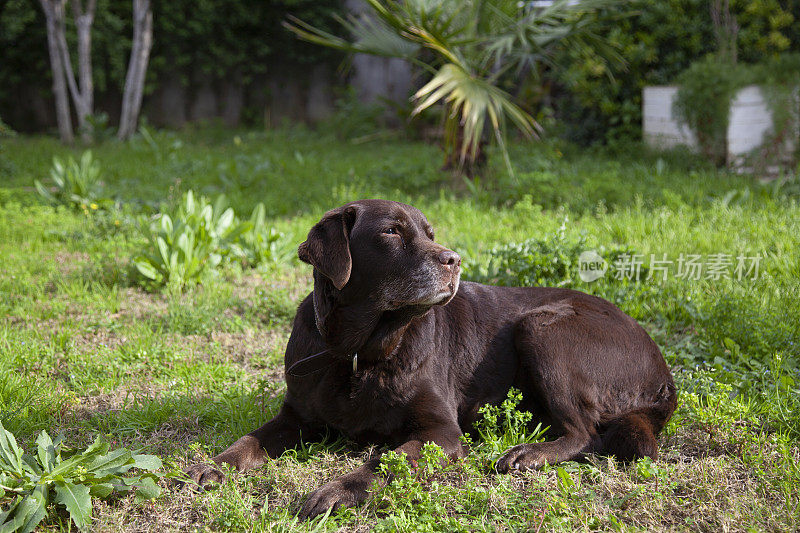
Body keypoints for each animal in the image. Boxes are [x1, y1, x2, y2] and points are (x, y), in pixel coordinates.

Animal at [188, 198, 676, 516]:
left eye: (430, 235)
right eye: (391, 231)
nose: (454, 260)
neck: (358, 353)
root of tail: (663, 370)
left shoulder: (441, 431)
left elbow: (384, 461)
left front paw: (336, 491)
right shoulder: (295, 418)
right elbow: (248, 442)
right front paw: (215, 466)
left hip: (541, 328)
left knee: (586, 433)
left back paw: (528, 454)